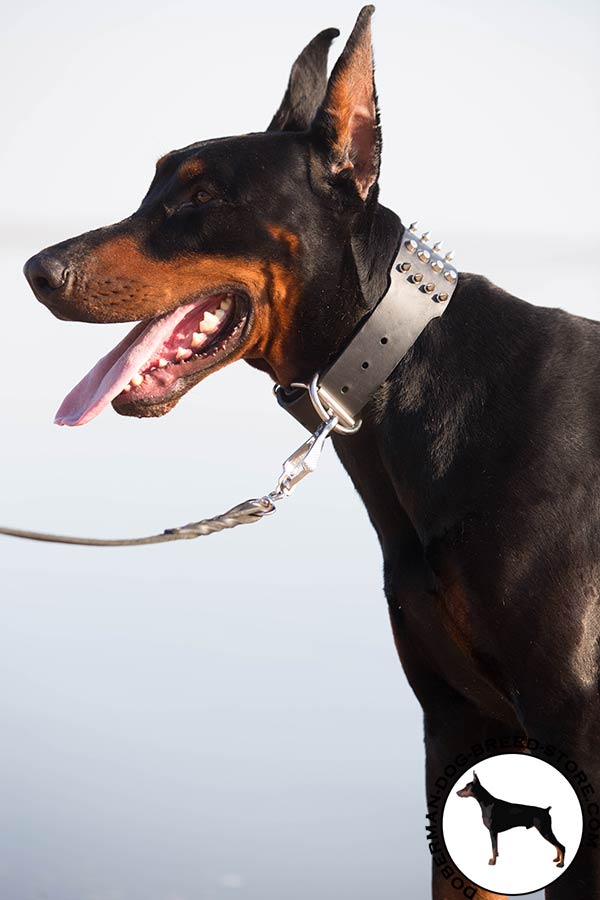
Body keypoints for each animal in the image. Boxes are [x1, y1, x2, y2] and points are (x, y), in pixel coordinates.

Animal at [21, 7, 596, 900]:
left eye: (203, 196)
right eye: (154, 187)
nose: (37, 270)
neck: (408, 375)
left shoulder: (570, 730)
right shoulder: (456, 723)